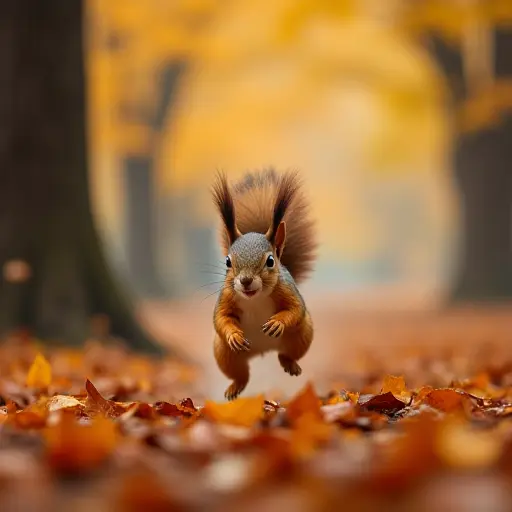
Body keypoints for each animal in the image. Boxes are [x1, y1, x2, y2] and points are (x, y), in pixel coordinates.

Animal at [209, 169, 316, 400]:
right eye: (227, 261)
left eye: (270, 261)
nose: (245, 281)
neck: (254, 299)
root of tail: (262, 351)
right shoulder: (226, 296)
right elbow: (221, 318)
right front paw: (233, 335)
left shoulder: (287, 290)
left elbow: (296, 309)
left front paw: (278, 323)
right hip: (224, 354)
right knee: (241, 374)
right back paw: (235, 386)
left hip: (302, 336)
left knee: (287, 354)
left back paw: (290, 364)